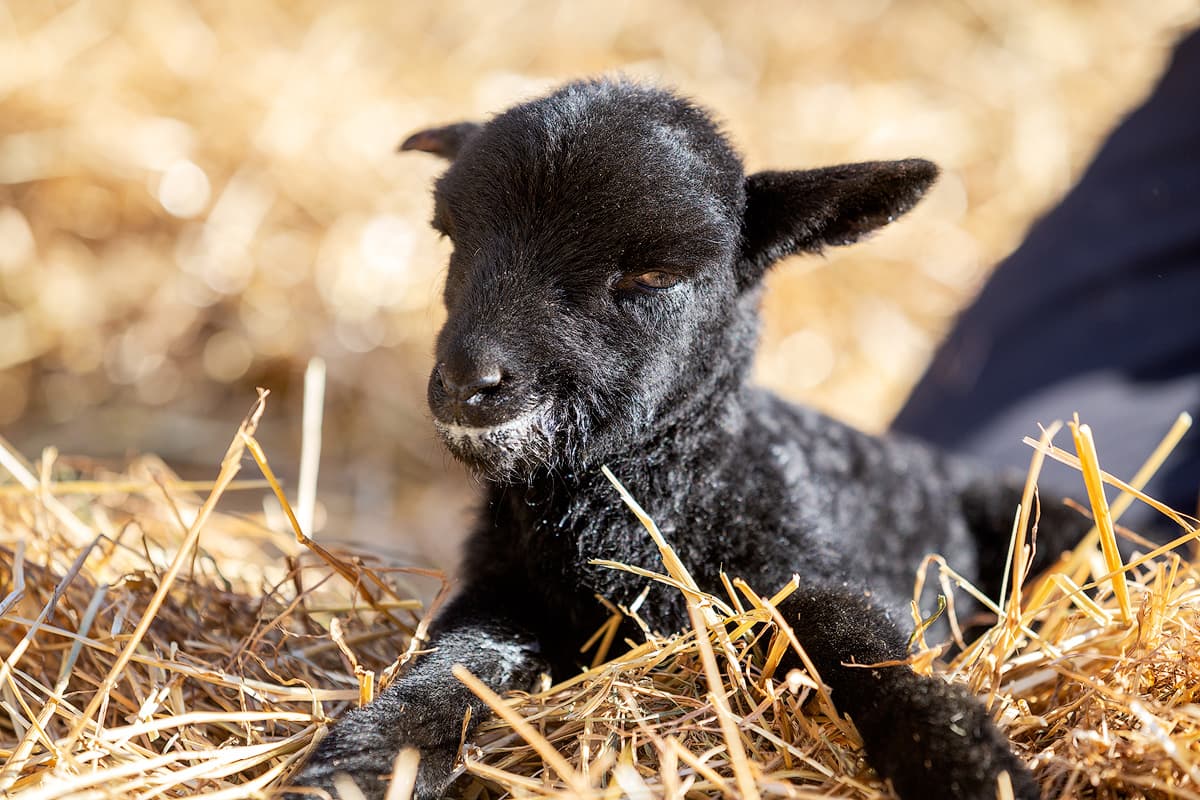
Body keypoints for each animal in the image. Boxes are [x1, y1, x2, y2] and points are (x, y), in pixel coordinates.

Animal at [285, 76, 1084, 800]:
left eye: (654, 274)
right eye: (452, 238)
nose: (467, 379)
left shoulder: (800, 573)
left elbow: (864, 645)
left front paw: (973, 768)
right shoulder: (503, 591)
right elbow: (448, 673)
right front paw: (351, 768)